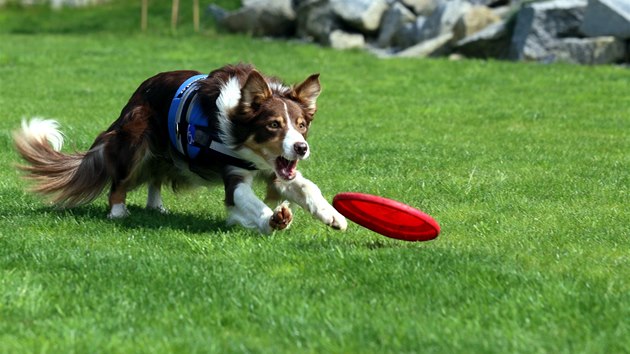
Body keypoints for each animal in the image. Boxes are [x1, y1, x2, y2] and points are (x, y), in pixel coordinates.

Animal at [14, 63, 348, 235]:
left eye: (301, 125)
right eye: (273, 125)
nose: (301, 148)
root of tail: (136, 94)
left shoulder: (276, 169)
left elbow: (307, 187)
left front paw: (332, 215)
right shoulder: (235, 175)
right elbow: (247, 201)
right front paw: (272, 220)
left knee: (156, 177)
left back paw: (156, 205)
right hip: (136, 139)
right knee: (119, 181)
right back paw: (118, 211)